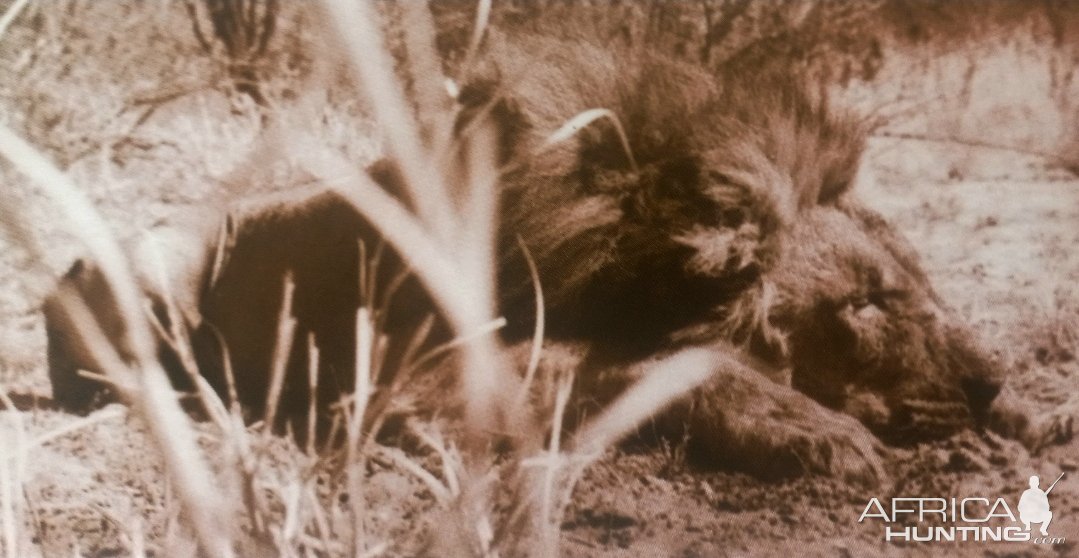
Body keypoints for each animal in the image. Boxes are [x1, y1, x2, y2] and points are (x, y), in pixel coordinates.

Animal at [44, 34, 1070, 481]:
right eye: (862, 307)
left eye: (922, 288)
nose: (984, 381)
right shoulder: (416, 383)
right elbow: (661, 364)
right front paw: (813, 430)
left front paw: (1031, 415)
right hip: (146, 261)